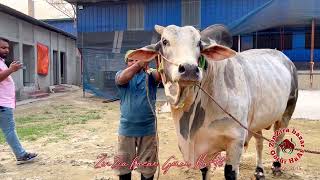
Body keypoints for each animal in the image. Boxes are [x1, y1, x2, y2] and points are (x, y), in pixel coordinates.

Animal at [127, 24, 298, 180]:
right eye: (164, 41)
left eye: (198, 43)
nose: (189, 69)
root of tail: (284, 57)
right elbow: (205, 171)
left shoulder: (235, 141)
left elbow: (230, 173)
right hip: (257, 121)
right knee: (259, 142)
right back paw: (259, 171)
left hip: (287, 112)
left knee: (279, 138)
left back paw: (276, 166)